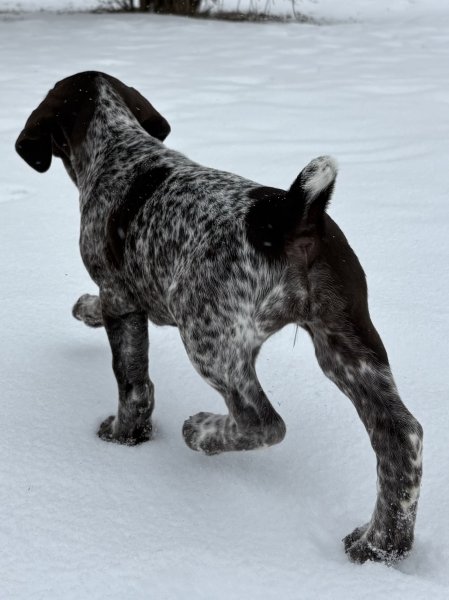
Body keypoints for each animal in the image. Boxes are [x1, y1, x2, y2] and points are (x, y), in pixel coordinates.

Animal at [16, 71, 422, 564]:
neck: (119, 146)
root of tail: (294, 214)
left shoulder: (120, 295)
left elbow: (132, 384)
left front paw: (122, 436)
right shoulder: (127, 295)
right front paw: (83, 309)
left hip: (209, 338)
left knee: (264, 422)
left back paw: (202, 432)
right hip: (347, 345)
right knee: (401, 437)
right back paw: (381, 545)